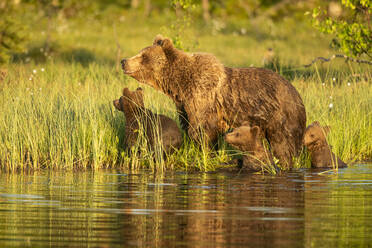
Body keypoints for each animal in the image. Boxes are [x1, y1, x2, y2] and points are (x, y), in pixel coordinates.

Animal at [120, 35, 306, 169]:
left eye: (143, 56)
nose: (123, 61)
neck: (179, 84)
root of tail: (296, 92)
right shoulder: (184, 105)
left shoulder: (203, 98)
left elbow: (202, 130)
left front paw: (205, 154)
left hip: (280, 116)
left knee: (284, 145)